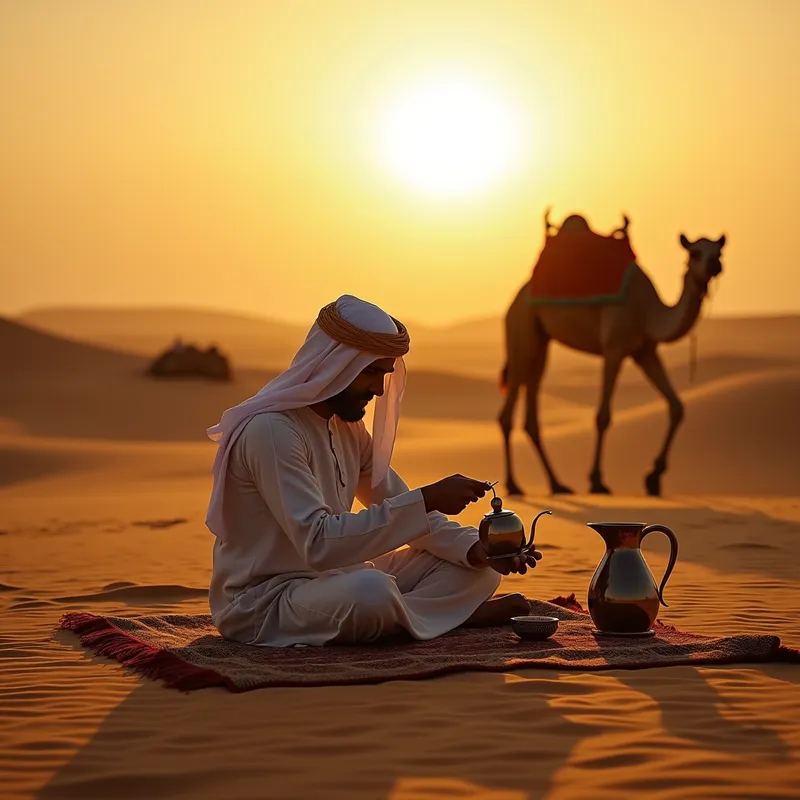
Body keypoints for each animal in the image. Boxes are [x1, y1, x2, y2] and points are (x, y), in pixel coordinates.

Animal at [499, 210, 726, 497]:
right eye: (695, 252)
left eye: (719, 250)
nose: (715, 265)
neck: (647, 310)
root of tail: (514, 300)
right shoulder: (614, 348)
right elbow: (603, 416)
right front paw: (597, 481)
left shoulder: (645, 351)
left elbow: (677, 406)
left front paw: (653, 478)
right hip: (520, 325)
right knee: (510, 400)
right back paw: (513, 484)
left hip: (541, 339)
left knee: (532, 398)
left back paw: (557, 484)